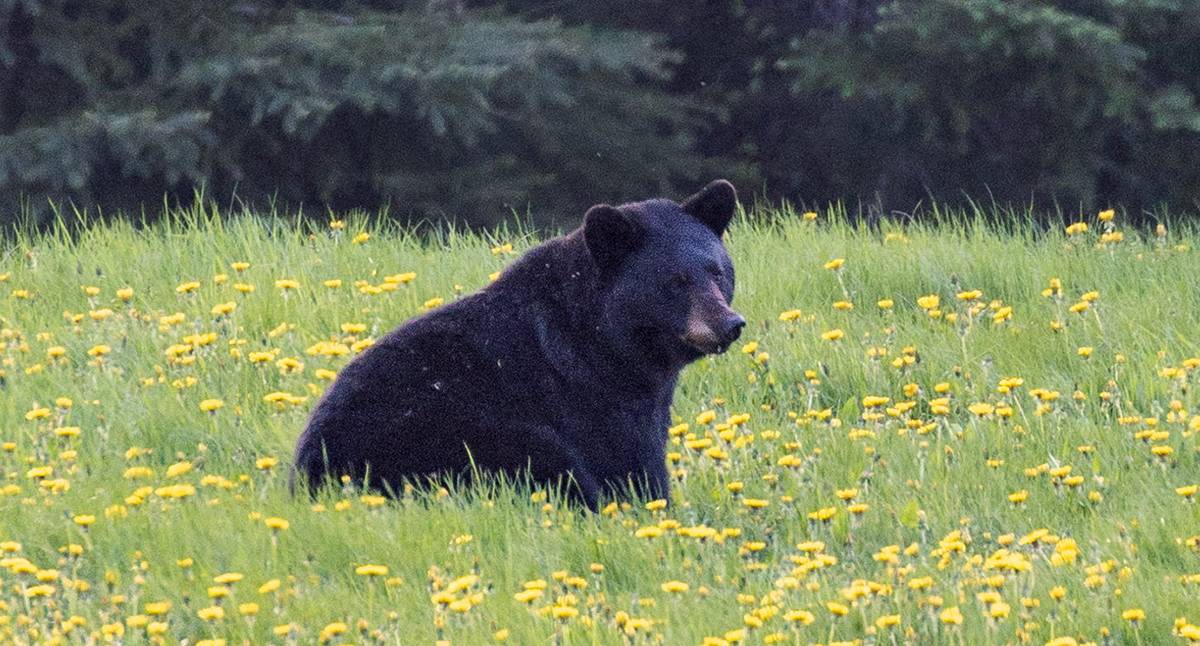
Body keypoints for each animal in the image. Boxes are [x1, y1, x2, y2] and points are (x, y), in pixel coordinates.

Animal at [290, 178, 739, 504]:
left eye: (717, 271)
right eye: (675, 281)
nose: (729, 324)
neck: (605, 338)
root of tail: (312, 475)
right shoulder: (593, 395)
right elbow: (633, 464)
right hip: (466, 437)